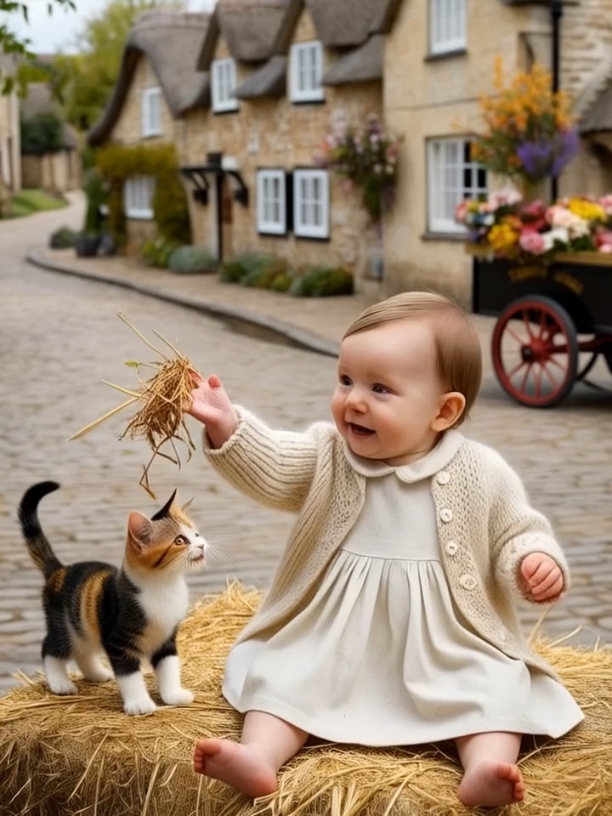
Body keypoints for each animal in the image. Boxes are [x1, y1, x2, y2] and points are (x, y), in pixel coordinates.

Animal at [17, 482, 207, 716]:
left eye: (196, 534)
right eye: (180, 540)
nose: (202, 545)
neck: (164, 585)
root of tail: (59, 570)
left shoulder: (167, 637)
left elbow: (169, 666)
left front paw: (173, 695)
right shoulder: (118, 641)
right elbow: (129, 675)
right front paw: (139, 704)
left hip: (86, 628)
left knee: (82, 652)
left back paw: (97, 673)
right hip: (65, 624)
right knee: (50, 647)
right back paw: (60, 683)